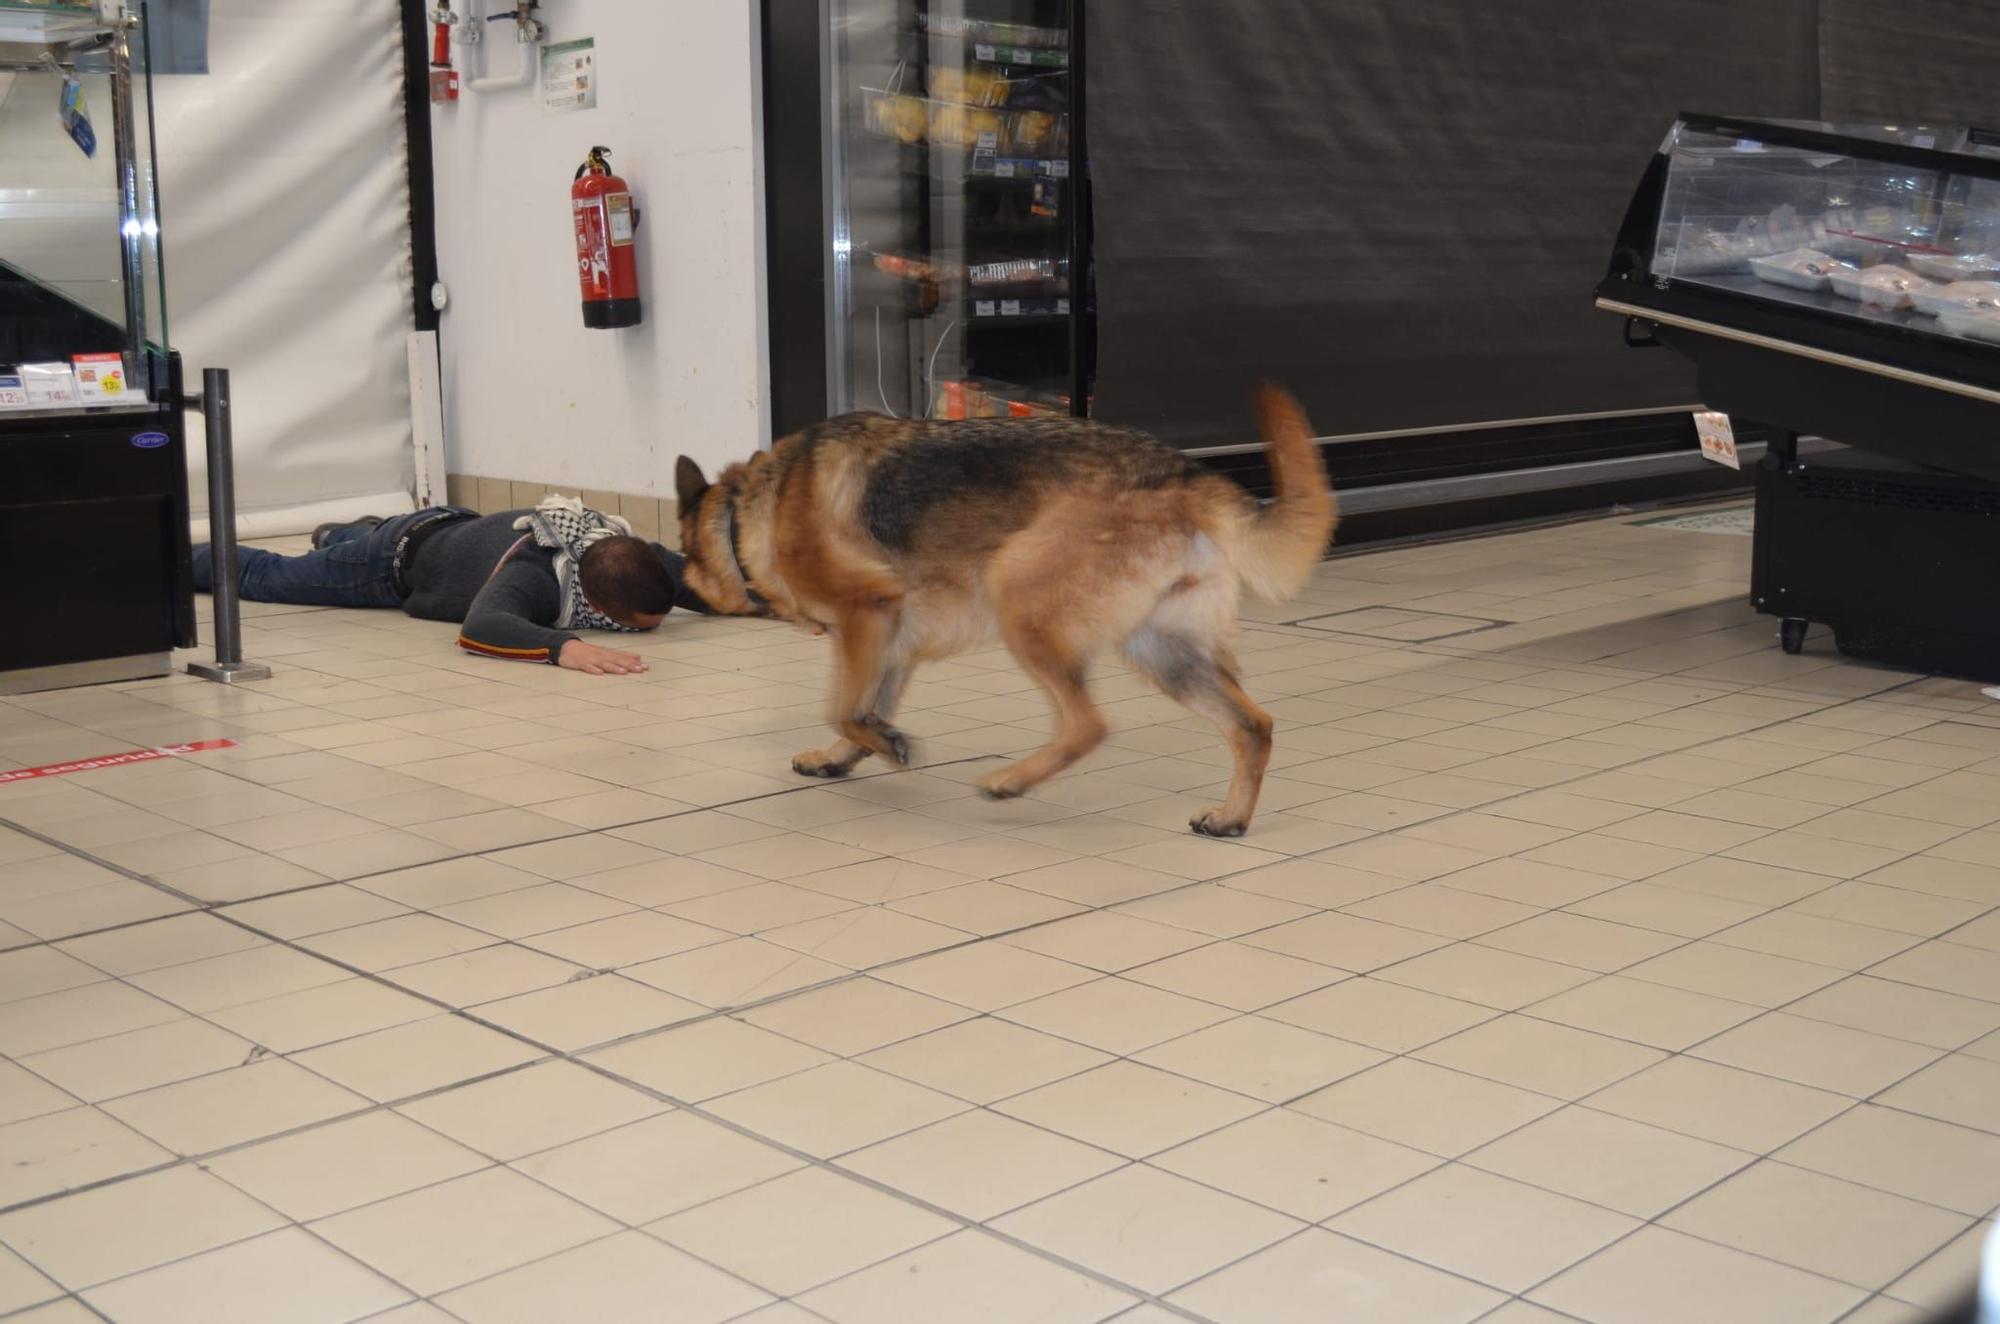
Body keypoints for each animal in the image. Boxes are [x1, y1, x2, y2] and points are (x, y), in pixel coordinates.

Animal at [680, 386, 1336, 840]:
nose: (680, 580)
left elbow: (842, 707)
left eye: (685, 553)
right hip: (1166, 654)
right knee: (1253, 725)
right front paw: (850, 754)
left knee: (1087, 724)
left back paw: (1010, 781)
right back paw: (1232, 818)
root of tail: (1189, 475)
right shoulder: (890, 639)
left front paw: (883, 745)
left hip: (1018, 599)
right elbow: (866, 707)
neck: (753, 508)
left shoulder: (868, 613)